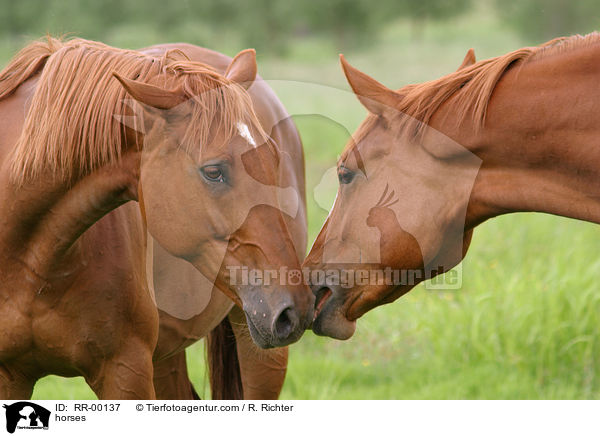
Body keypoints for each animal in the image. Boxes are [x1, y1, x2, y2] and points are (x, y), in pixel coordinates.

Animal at [0, 39, 310, 400]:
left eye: (273, 159)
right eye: (213, 171)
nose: (295, 307)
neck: (32, 263)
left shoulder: (125, 371)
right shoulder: (12, 376)